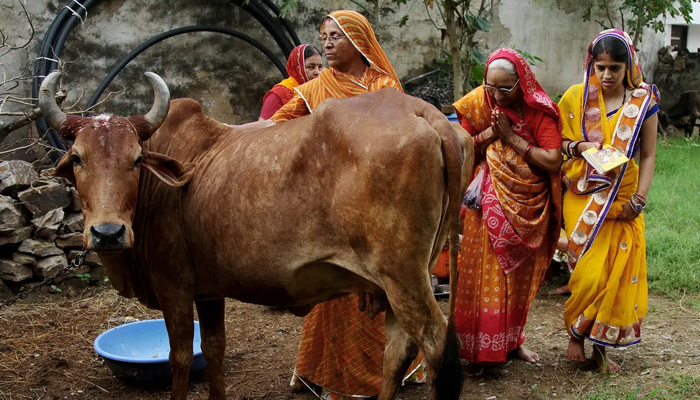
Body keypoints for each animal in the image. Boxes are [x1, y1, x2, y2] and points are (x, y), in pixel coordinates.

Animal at [39, 71, 473, 400]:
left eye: (136, 160)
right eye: (77, 158)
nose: (107, 233)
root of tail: (424, 112)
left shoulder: (173, 285)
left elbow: (180, 357)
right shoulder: (208, 291)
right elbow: (214, 349)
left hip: (403, 276)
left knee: (436, 346)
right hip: (402, 279)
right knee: (397, 352)